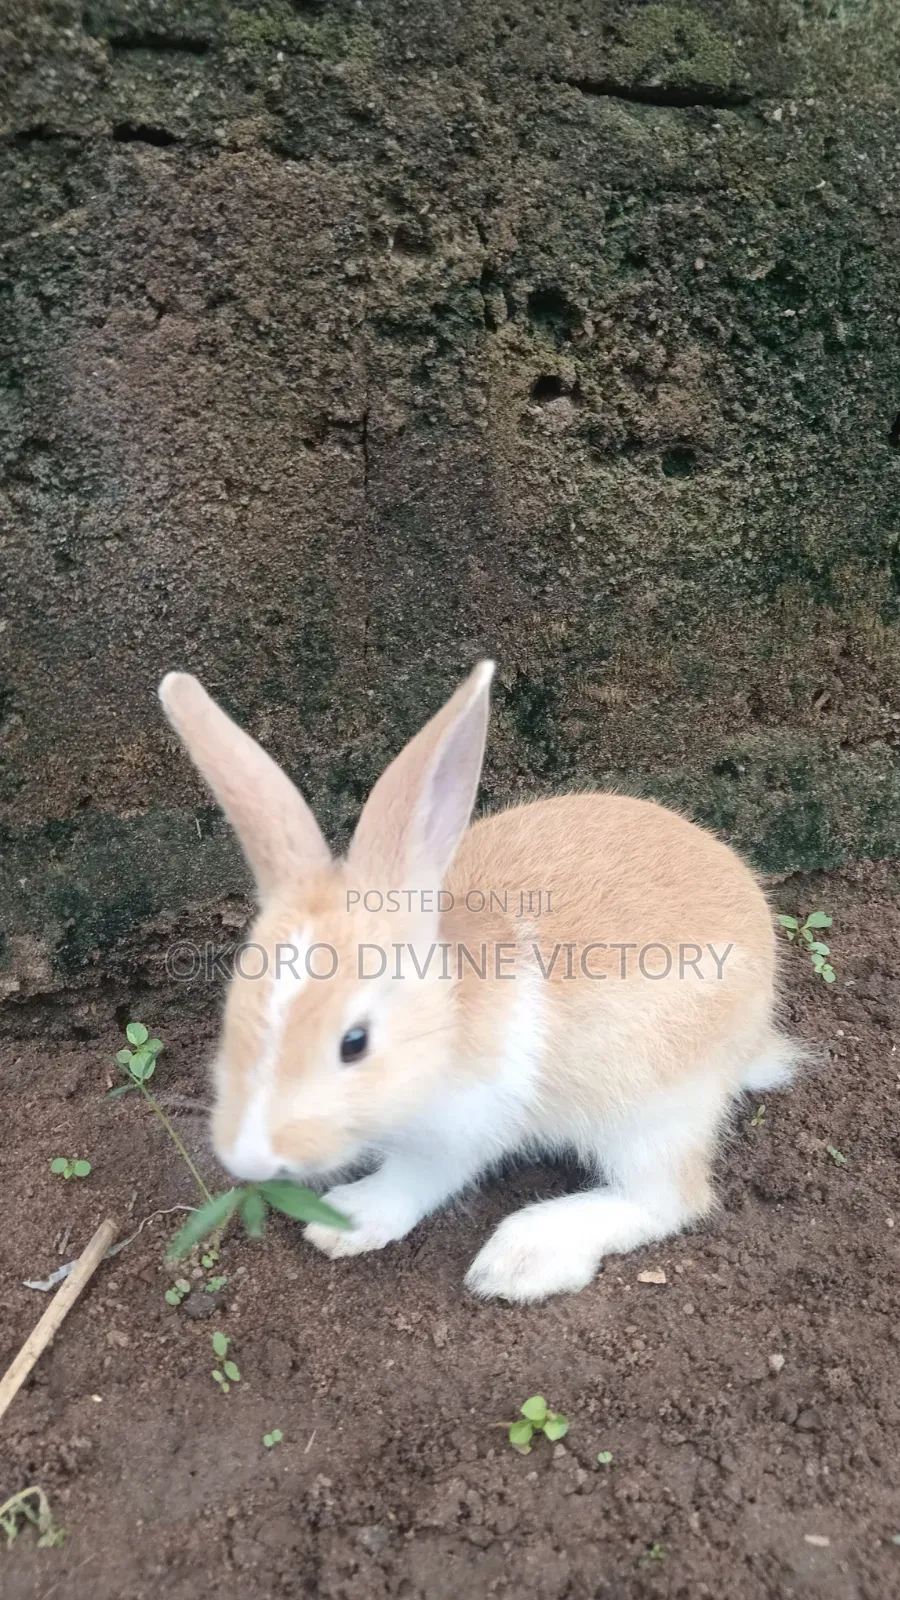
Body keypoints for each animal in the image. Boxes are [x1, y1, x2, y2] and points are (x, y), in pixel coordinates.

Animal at [158, 661, 799, 1302]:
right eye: (235, 1012)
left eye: (354, 1043)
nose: (250, 1158)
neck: (445, 1017)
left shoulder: (467, 1126)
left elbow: (417, 1177)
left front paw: (347, 1221)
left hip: (653, 1109)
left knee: (669, 1200)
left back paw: (521, 1259)